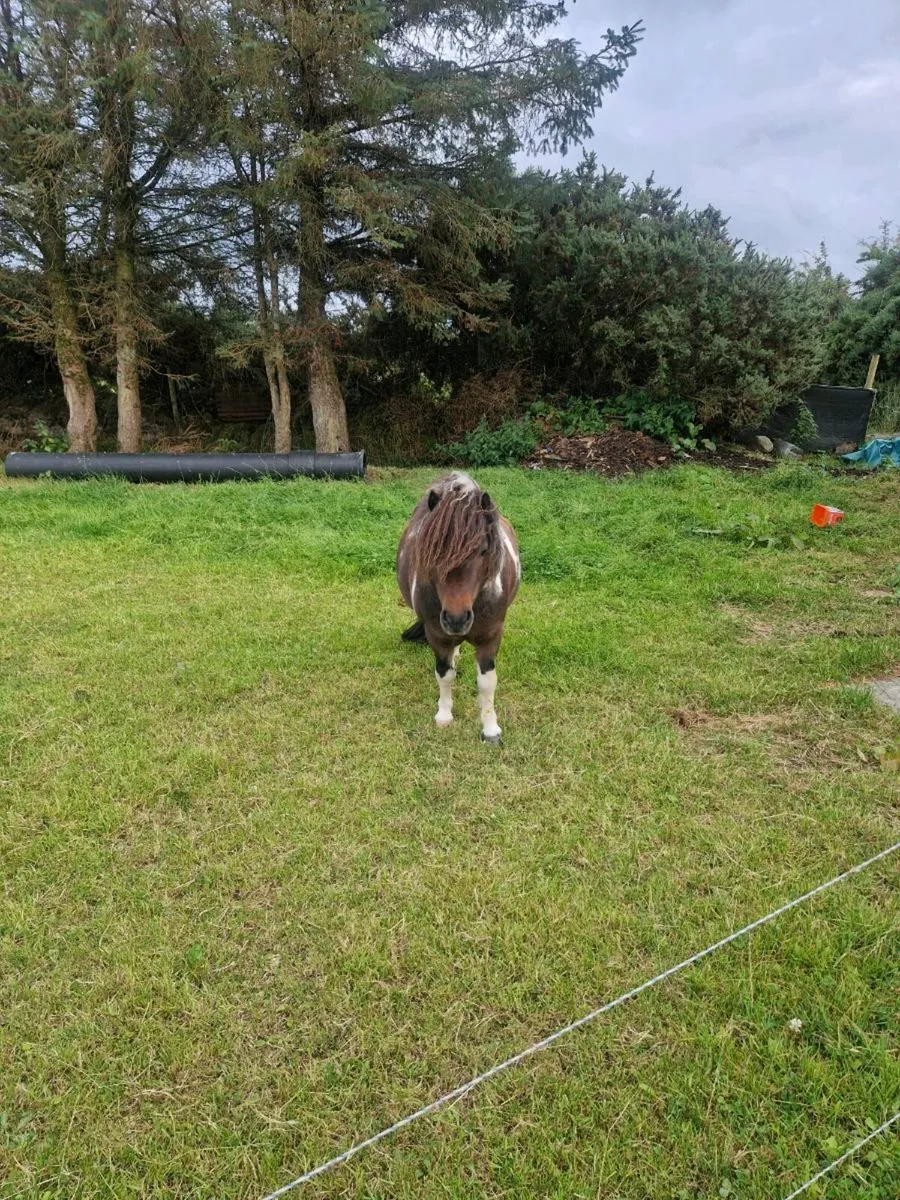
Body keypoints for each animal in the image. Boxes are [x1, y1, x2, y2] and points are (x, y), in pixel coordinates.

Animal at [396, 472, 520, 744]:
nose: (456, 619)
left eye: (483, 550)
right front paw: (444, 716)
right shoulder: (438, 635)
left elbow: (487, 682)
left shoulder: (491, 636)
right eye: (433, 552)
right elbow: (444, 674)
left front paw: (490, 729)